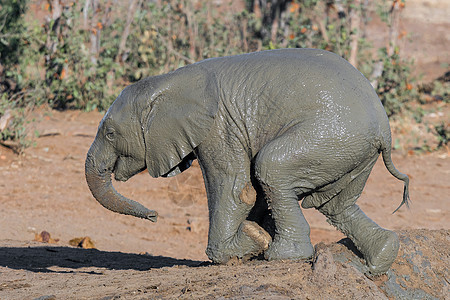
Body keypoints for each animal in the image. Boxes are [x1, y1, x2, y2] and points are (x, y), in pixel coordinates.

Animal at [85, 48, 412, 276]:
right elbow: (250, 192)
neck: (170, 81)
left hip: (331, 137)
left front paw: (248, 245)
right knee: (334, 205)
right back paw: (379, 261)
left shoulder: (219, 128)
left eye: (110, 133)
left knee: (271, 168)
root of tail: (384, 131)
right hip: (350, 153)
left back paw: (283, 255)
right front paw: (253, 240)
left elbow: (235, 189)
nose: (154, 216)